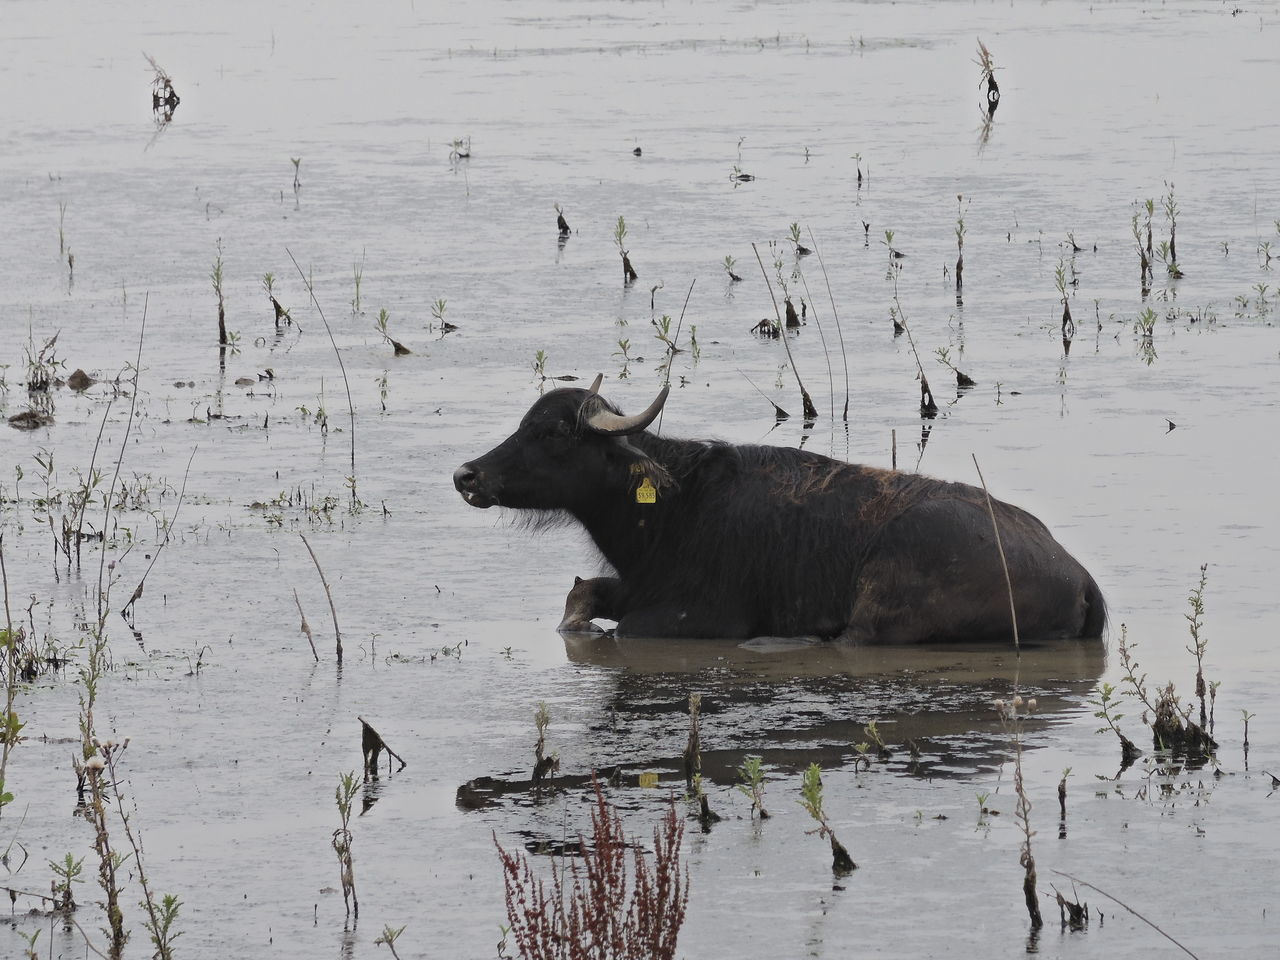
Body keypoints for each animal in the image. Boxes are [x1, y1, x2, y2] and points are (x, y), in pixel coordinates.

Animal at [455, 378, 1105, 647]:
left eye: (555, 432)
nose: (467, 475)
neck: (674, 510)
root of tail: (1080, 577)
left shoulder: (696, 617)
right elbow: (581, 595)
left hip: (879, 612)